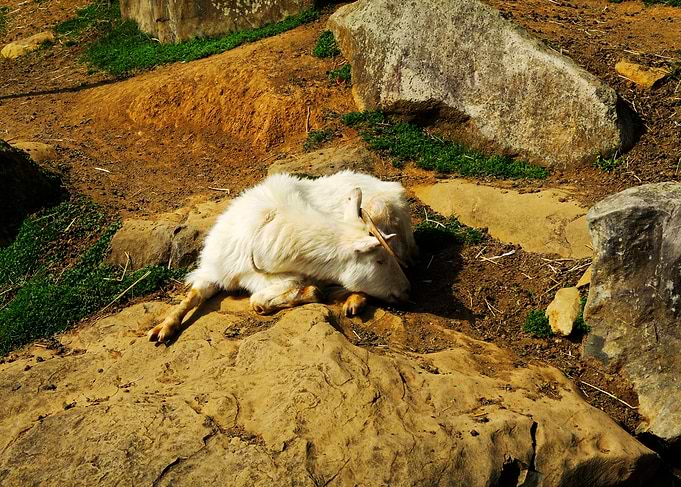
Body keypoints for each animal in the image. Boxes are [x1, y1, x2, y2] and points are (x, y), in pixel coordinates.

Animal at [148, 171, 414, 343]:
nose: (406, 290)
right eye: (379, 260)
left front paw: (317, 293)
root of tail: (395, 190)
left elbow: (259, 300)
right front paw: (163, 328)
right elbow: (192, 295)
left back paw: (353, 301)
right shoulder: (215, 269)